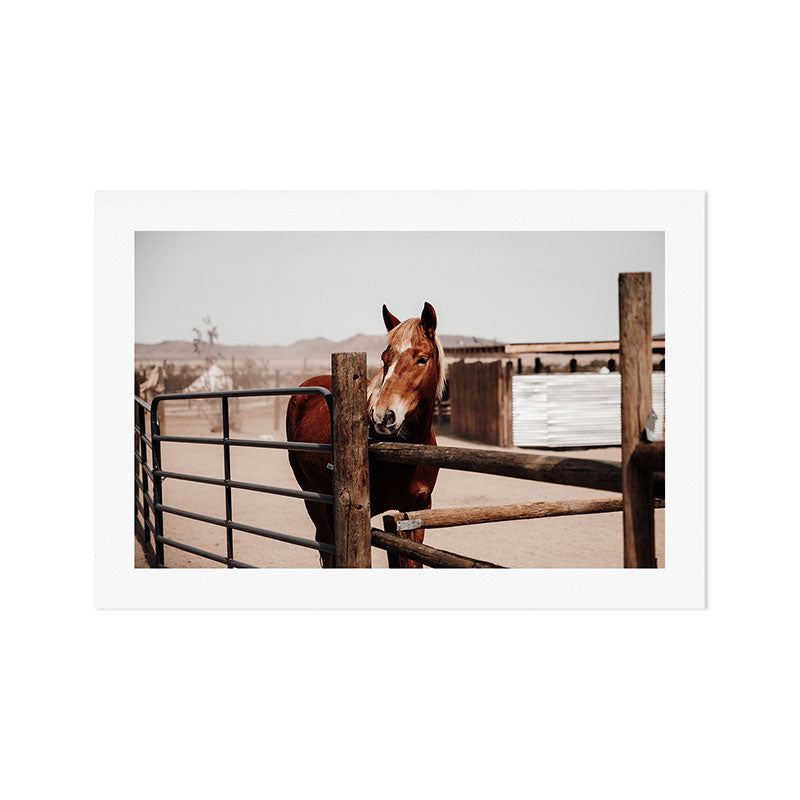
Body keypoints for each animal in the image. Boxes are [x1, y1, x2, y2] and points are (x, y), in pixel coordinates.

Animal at [286, 302, 445, 567]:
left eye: (423, 359)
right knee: (326, 545)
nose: (383, 416)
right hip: (314, 496)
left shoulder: (417, 510)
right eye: (384, 359)